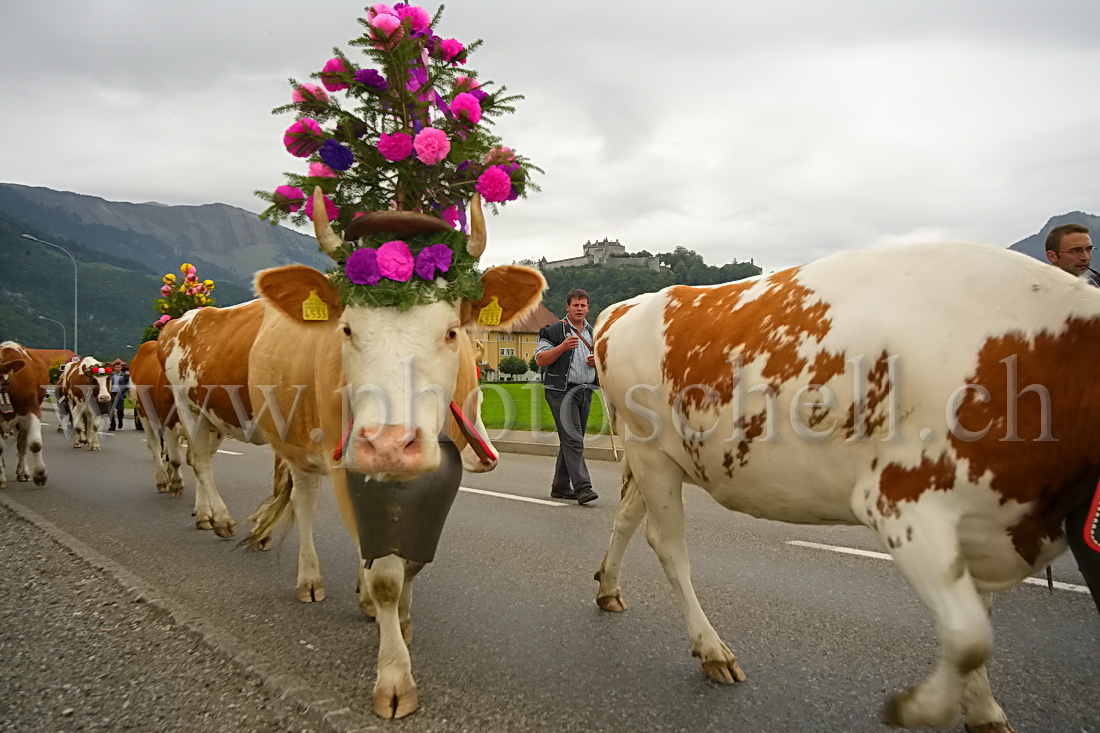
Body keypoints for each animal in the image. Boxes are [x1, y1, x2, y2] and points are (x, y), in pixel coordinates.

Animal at [0, 341, 49, 488]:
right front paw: (1, 479)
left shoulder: (32, 410)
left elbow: (35, 444)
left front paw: (40, 474)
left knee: (22, 444)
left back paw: (23, 473)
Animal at [129, 338, 183, 493]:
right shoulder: (168, 419)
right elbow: (175, 457)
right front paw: (175, 482)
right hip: (144, 413)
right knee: (154, 444)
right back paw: (162, 479)